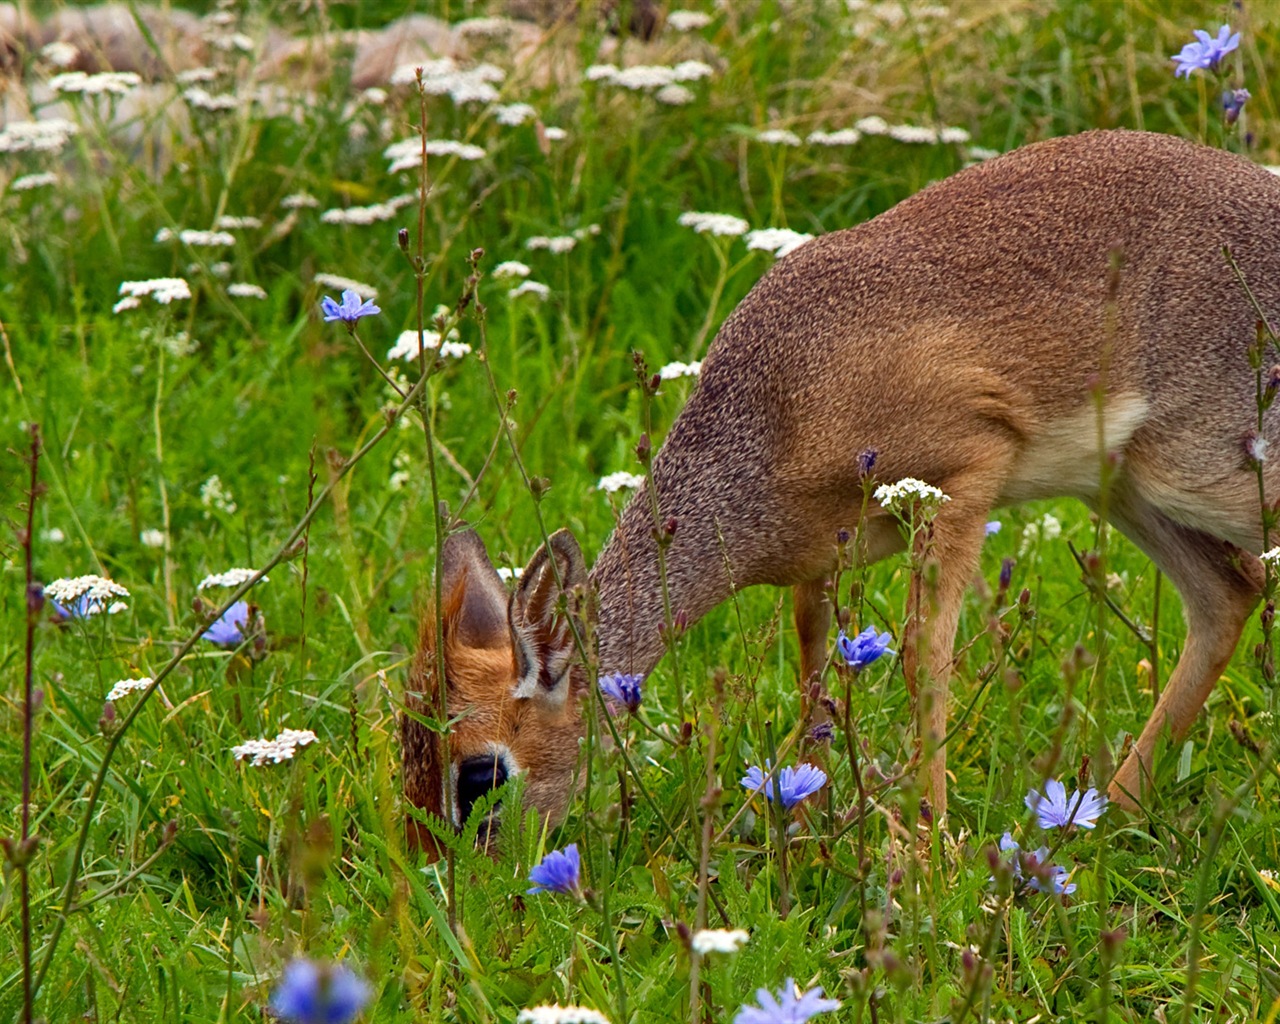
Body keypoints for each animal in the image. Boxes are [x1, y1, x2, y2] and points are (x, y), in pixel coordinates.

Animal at [404, 129, 1274, 849]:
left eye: (480, 774)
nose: (468, 891)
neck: (774, 415)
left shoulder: (965, 475)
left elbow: (925, 659)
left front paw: (927, 846)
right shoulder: (820, 561)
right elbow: (815, 670)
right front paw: (809, 813)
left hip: (1195, 468)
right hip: (1124, 486)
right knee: (1228, 595)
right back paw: (1104, 815)